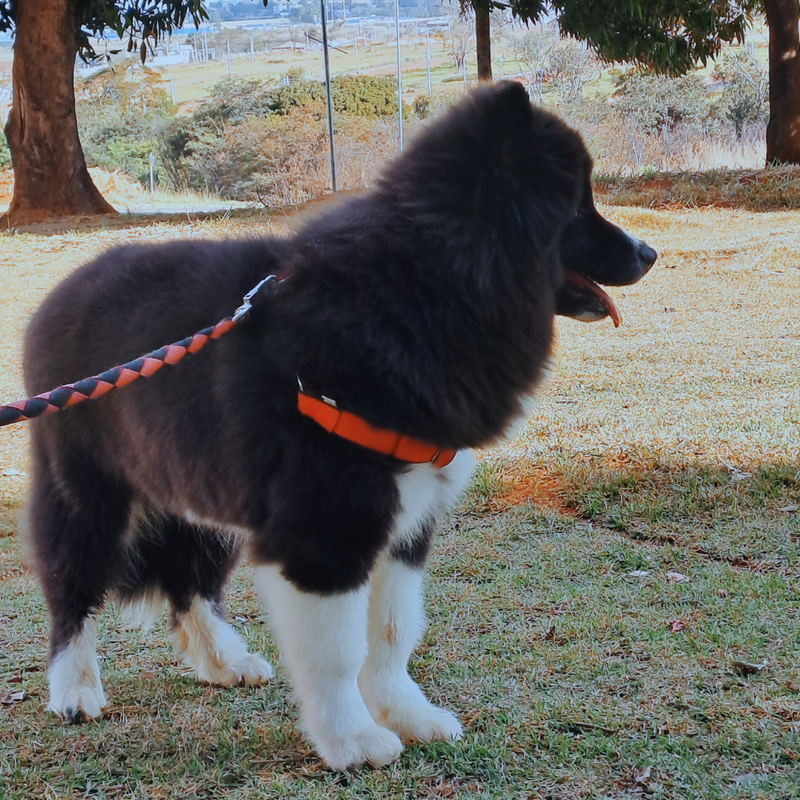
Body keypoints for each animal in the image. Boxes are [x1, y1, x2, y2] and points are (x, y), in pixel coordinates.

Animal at [23, 81, 656, 768]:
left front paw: (407, 714)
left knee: (190, 578)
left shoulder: (406, 524)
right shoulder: (326, 529)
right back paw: (74, 689)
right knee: (72, 590)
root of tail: (58, 295)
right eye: (577, 207)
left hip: (193, 489)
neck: (423, 292)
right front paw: (351, 739)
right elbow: (338, 650)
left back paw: (223, 660)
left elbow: (393, 633)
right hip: (90, 496)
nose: (649, 253)